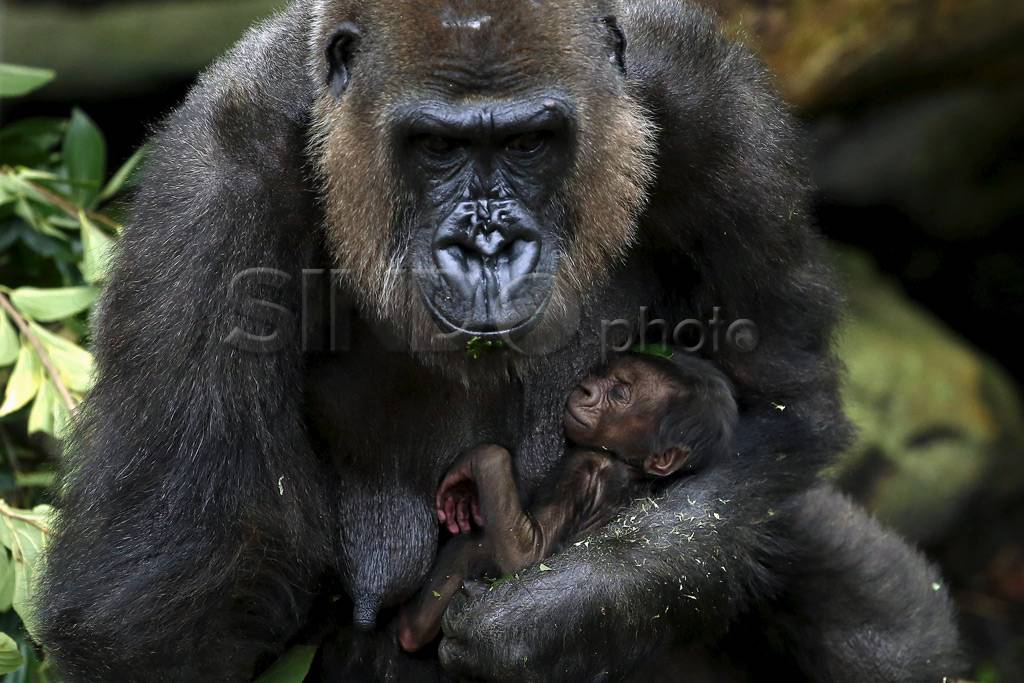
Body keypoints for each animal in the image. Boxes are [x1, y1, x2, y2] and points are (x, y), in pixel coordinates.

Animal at [397, 353, 737, 653]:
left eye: (619, 392)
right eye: (603, 372)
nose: (586, 388)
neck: (630, 465)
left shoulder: (583, 466)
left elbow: (528, 552)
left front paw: (481, 460)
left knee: (473, 544)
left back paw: (412, 629)